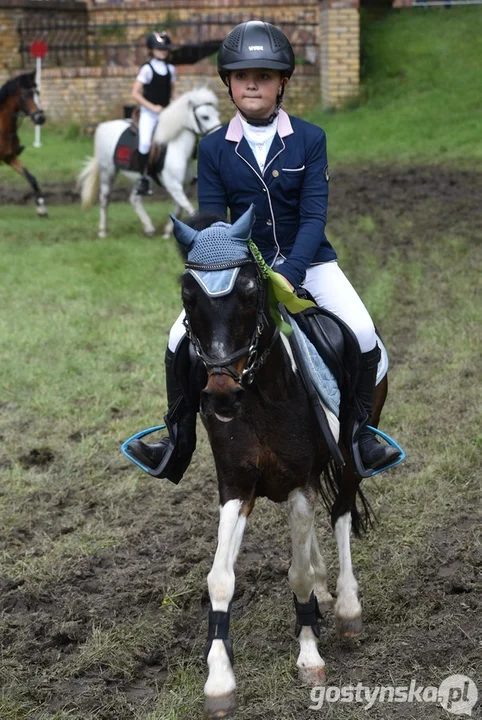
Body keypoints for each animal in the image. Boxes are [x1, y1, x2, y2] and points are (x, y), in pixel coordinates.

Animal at [0, 71, 47, 215]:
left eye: (37, 93)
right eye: (25, 95)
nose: (40, 118)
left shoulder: (9, 157)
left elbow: (31, 178)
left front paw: (41, 207)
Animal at [77, 86, 220, 239]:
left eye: (216, 114)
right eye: (205, 117)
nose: (217, 135)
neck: (178, 148)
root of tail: (103, 126)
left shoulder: (183, 185)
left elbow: (179, 209)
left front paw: (168, 231)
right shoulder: (173, 185)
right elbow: (189, 209)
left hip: (138, 178)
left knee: (134, 199)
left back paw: (149, 228)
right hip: (108, 172)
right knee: (105, 199)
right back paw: (103, 231)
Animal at [171, 205, 394, 716]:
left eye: (252, 291)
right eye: (188, 294)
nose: (220, 395)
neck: (260, 398)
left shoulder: (298, 483)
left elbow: (297, 573)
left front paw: (310, 656)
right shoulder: (237, 488)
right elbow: (220, 578)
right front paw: (219, 681)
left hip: (349, 456)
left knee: (340, 513)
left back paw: (346, 607)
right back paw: (326, 593)